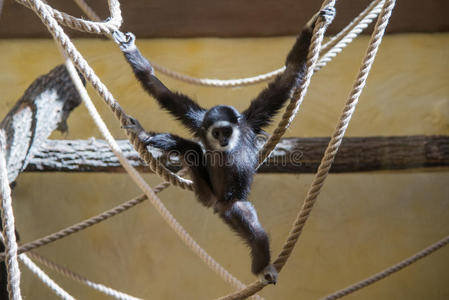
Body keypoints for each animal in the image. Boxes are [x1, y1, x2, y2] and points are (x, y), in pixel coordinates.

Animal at [114, 7, 334, 284]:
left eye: (227, 130)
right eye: (216, 131)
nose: (222, 139)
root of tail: (217, 203)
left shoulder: (250, 123)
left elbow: (288, 76)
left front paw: (314, 22)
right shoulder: (199, 121)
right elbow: (162, 93)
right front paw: (131, 52)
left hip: (233, 204)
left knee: (256, 234)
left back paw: (262, 266)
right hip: (209, 192)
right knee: (192, 150)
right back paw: (145, 136)